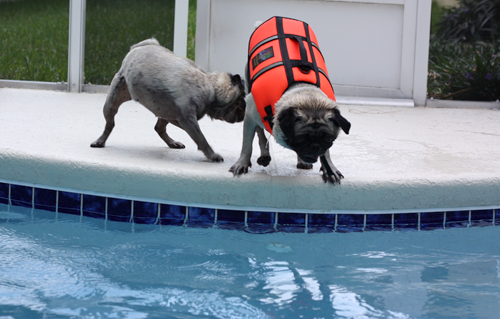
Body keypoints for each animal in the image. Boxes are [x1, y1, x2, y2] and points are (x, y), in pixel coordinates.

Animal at [91, 38, 246, 162]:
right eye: (240, 105)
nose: (243, 114)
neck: (211, 86)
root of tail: (140, 47)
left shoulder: (178, 118)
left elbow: (197, 136)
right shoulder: (188, 120)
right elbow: (202, 139)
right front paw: (212, 155)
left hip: (163, 111)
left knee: (159, 128)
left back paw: (172, 143)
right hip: (111, 103)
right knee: (110, 124)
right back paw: (100, 140)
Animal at [229, 16, 350, 184]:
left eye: (328, 138)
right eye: (300, 139)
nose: (315, 146)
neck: (303, 90)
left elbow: (326, 154)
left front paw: (329, 168)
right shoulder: (249, 118)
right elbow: (247, 145)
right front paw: (242, 163)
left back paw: (302, 161)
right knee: (260, 133)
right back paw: (265, 155)